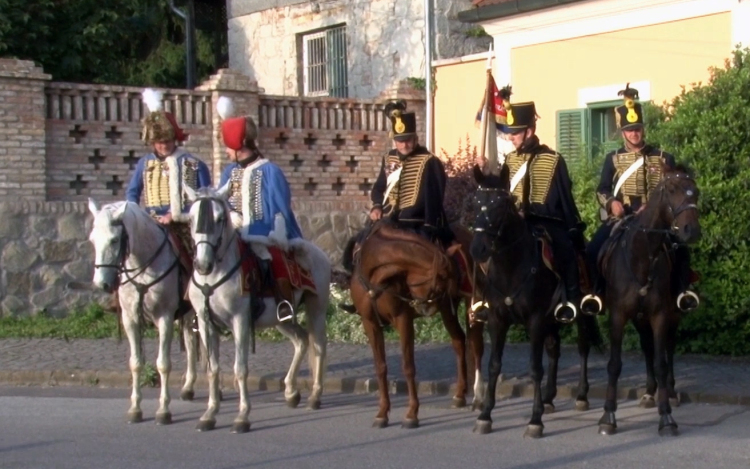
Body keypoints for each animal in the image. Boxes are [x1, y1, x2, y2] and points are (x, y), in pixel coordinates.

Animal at [88, 197, 198, 424]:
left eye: (114, 240)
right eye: (93, 240)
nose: (101, 284)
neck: (143, 265)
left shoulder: (165, 318)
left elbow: (163, 363)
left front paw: (163, 410)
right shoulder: (130, 319)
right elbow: (136, 363)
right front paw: (135, 408)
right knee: (191, 342)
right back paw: (188, 388)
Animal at [184, 185, 330, 434]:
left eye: (220, 218)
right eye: (192, 218)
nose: (203, 265)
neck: (213, 278)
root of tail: (318, 252)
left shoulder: (240, 320)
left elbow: (240, 368)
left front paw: (242, 416)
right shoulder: (205, 323)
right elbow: (213, 369)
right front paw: (209, 414)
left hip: (317, 310)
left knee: (318, 347)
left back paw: (315, 396)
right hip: (282, 319)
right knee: (301, 341)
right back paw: (291, 391)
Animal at [342, 219, 488, 428]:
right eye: (443, 278)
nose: (427, 306)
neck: (375, 276)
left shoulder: (403, 320)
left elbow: (408, 366)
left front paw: (411, 413)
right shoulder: (370, 323)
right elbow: (380, 367)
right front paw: (382, 412)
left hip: (470, 305)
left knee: (475, 346)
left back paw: (478, 397)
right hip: (447, 311)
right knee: (459, 341)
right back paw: (460, 394)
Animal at [470, 163, 604, 436]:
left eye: (500, 204)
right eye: (475, 203)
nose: (478, 249)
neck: (512, 266)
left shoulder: (535, 320)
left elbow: (535, 368)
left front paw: (535, 420)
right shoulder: (497, 321)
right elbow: (494, 365)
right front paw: (485, 415)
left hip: (579, 314)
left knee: (583, 347)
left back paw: (581, 395)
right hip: (552, 320)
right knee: (554, 349)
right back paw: (549, 397)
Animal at [596, 165, 704, 436]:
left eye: (695, 191)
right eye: (672, 189)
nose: (691, 231)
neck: (641, 256)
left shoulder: (660, 316)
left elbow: (661, 362)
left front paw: (666, 416)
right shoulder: (619, 316)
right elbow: (615, 364)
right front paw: (608, 416)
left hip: (670, 316)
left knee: (668, 349)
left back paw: (671, 392)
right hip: (639, 318)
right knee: (646, 347)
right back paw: (647, 392)